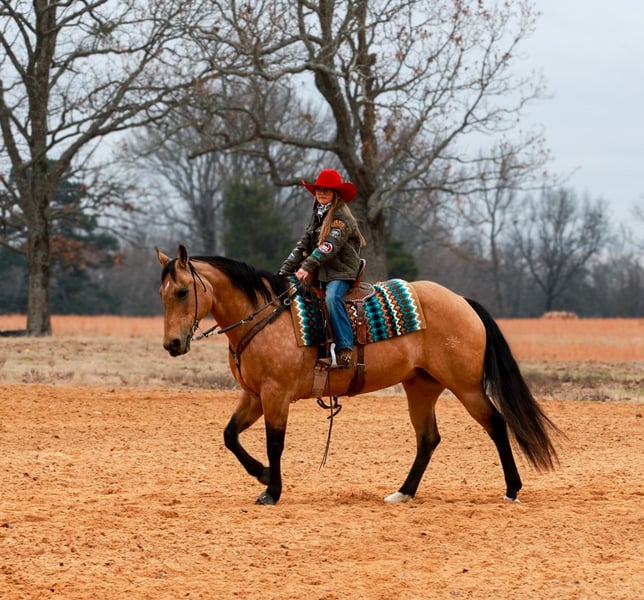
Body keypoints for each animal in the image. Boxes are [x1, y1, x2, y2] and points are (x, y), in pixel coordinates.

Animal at [156, 245, 559, 506]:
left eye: (182, 291)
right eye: (162, 293)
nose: (172, 344)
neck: (264, 316)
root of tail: (462, 300)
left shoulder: (276, 395)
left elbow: (274, 444)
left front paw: (272, 491)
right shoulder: (254, 395)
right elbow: (230, 436)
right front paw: (264, 475)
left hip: (467, 387)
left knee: (496, 424)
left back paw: (512, 488)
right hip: (420, 386)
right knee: (428, 439)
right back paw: (403, 492)